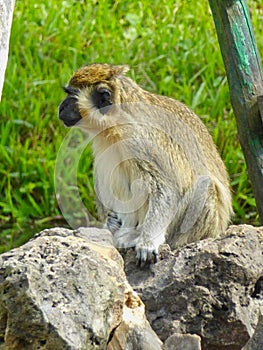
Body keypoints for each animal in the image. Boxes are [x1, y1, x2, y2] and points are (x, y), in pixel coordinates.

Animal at [58, 63, 234, 266]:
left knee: (205, 185)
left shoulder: (139, 138)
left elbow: (168, 189)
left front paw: (148, 242)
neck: (116, 119)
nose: (61, 107)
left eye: (71, 95)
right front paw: (111, 223)